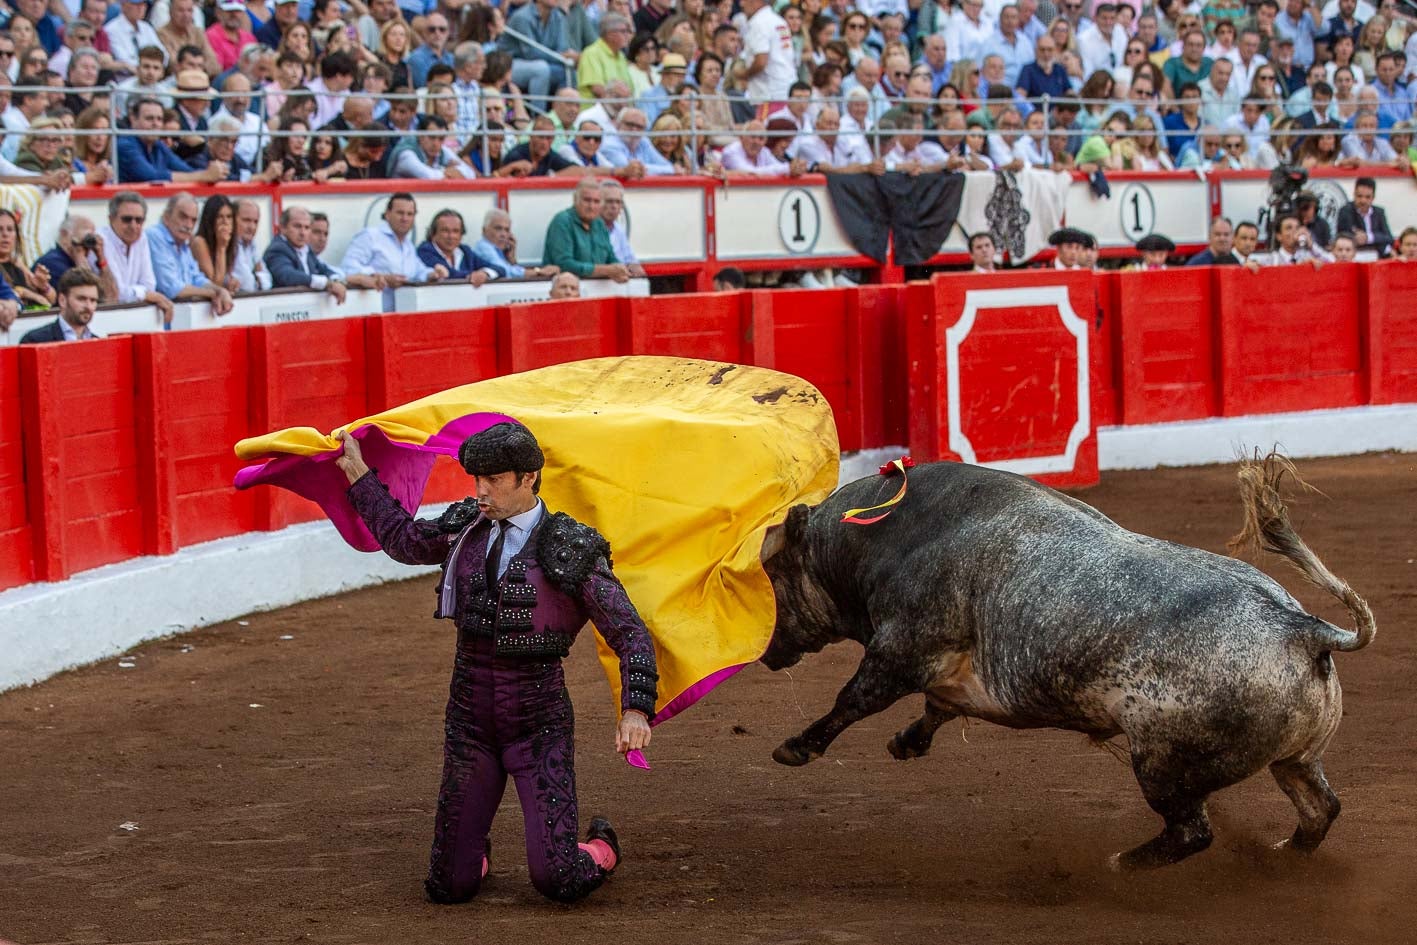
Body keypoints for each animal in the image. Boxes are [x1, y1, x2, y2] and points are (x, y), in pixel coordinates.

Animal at [765, 453, 1371, 867]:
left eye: (772, 573)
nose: (767, 652)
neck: (893, 534)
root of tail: (1303, 629)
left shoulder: (901, 648)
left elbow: (855, 699)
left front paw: (796, 747)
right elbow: (938, 707)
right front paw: (906, 742)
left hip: (1162, 764)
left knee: (1192, 831)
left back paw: (1124, 863)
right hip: (1295, 758)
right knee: (1320, 808)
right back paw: (1283, 854)